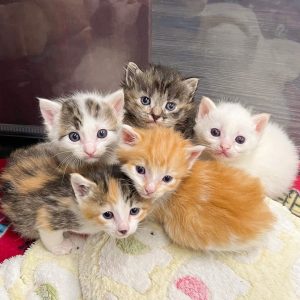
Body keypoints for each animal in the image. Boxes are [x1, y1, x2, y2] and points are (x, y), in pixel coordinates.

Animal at [1, 154, 152, 254]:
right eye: (107, 215)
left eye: (134, 211)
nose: (124, 230)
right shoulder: (51, 211)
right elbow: (48, 231)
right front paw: (61, 247)